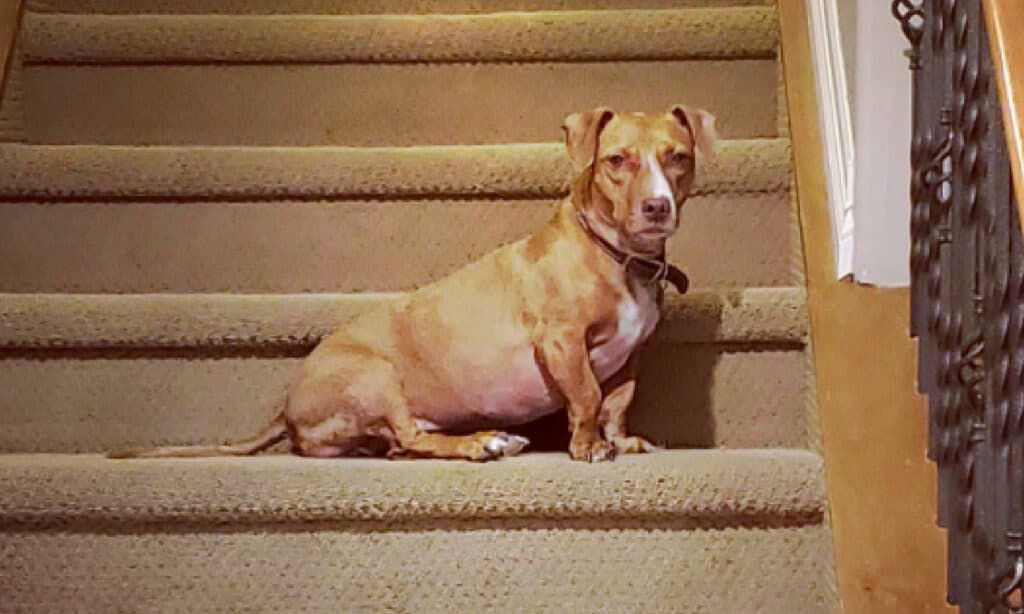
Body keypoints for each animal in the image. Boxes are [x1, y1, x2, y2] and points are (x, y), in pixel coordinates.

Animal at [112, 104, 716, 460]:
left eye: (678, 158)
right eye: (617, 160)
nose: (657, 207)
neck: (615, 254)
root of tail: (287, 408)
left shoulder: (630, 356)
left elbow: (617, 401)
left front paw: (620, 441)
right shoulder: (561, 341)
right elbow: (588, 396)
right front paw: (588, 447)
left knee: (405, 444)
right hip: (376, 378)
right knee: (410, 435)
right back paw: (483, 442)